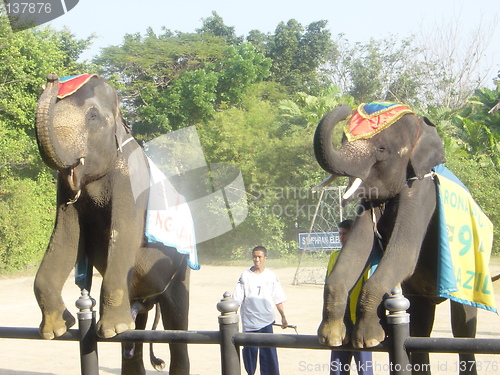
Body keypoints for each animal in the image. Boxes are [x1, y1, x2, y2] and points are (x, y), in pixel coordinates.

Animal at [33, 73, 191, 375]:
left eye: (93, 116)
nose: (51, 78)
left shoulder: (130, 181)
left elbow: (125, 235)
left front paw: (108, 330)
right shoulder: (65, 189)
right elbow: (65, 239)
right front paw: (57, 329)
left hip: (180, 271)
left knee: (177, 325)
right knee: (136, 333)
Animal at [314, 103, 494, 375]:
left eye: (381, 149)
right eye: (344, 139)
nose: (344, 107)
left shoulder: (421, 192)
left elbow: (404, 255)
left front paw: (369, 340)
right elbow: (356, 252)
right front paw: (332, 337)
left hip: (471, 278)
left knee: (463, 326)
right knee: (420, 327)